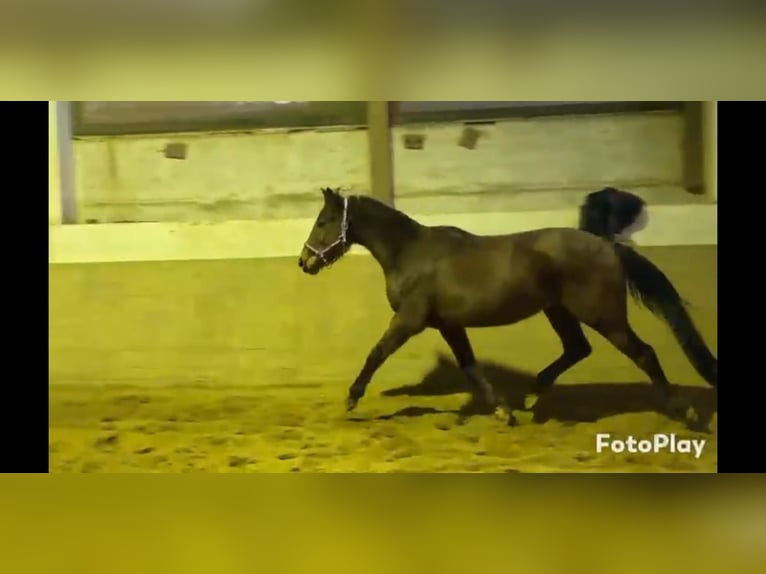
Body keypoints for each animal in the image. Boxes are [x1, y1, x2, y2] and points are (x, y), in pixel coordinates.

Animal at [298, 187, 717, 424]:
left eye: (324, 221)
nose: (304, 262)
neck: (410, 253)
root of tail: (606, 244)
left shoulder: (410, 320)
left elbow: (377, 352)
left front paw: (352, 398)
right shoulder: (449, 324)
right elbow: (470, 367)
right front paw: (503, 410)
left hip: (603, 315)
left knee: (643, 354)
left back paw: (687, 413)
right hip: (559, 311)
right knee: (577, 348)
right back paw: (533, 393)